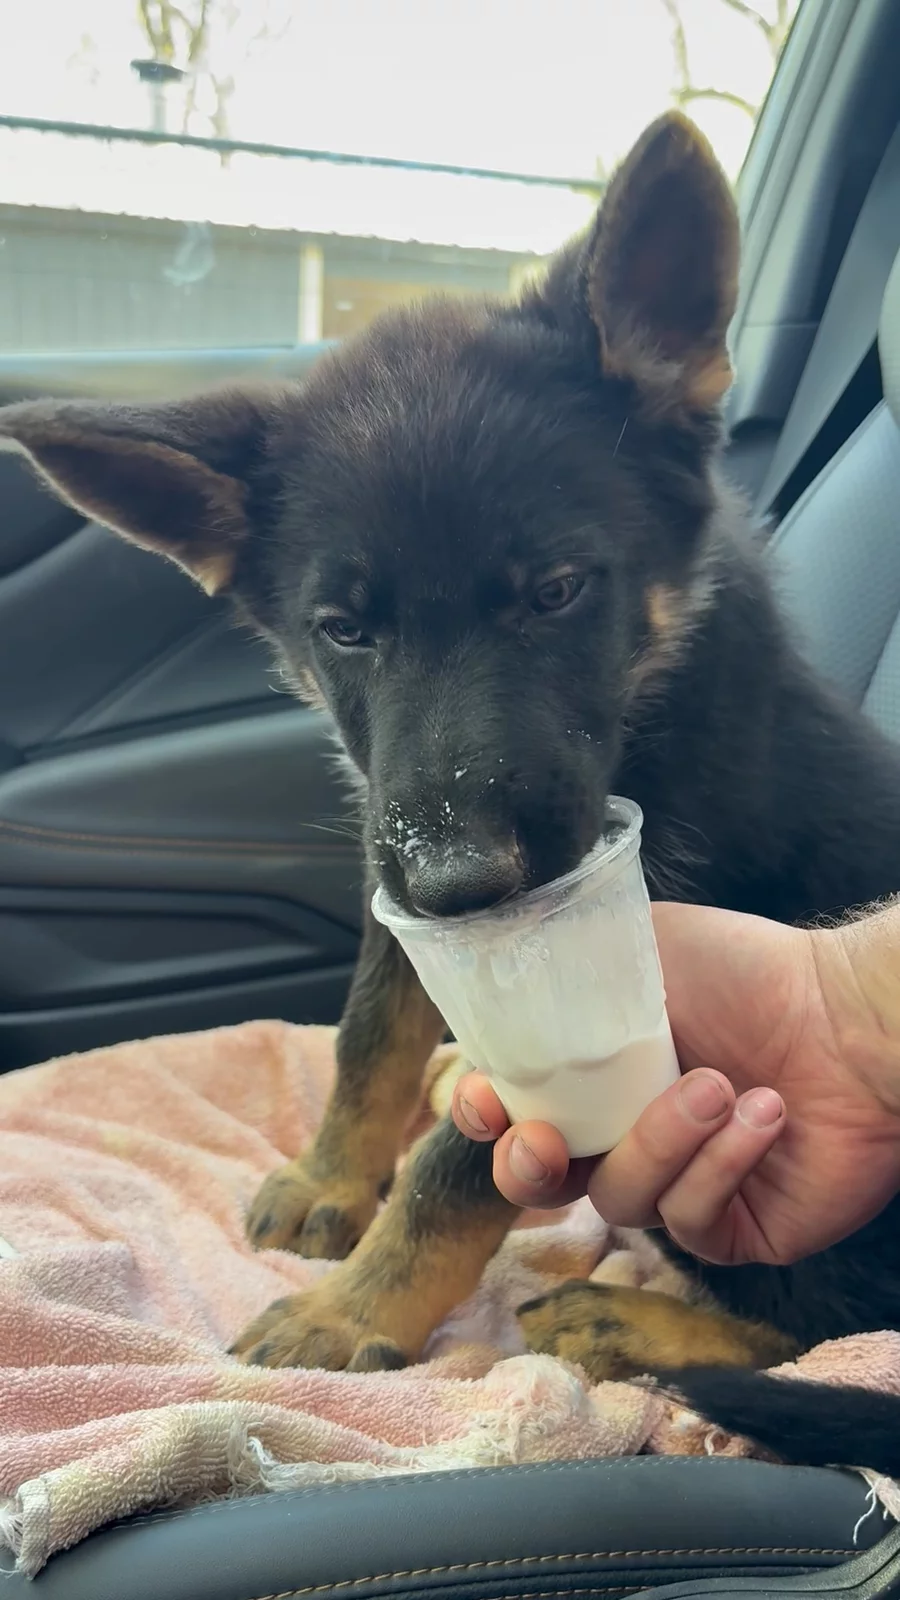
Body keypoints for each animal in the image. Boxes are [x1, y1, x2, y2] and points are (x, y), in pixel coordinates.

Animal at [4, 112, 900, 1472]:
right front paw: (335, 1177)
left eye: (555, 591)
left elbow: (456, 1167)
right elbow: (371, 1030)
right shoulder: (398, 860)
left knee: (838, 1327)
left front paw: (351, 1306)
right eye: (343, 627)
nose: (462, 879)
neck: (650, 692)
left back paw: (640, 1323)